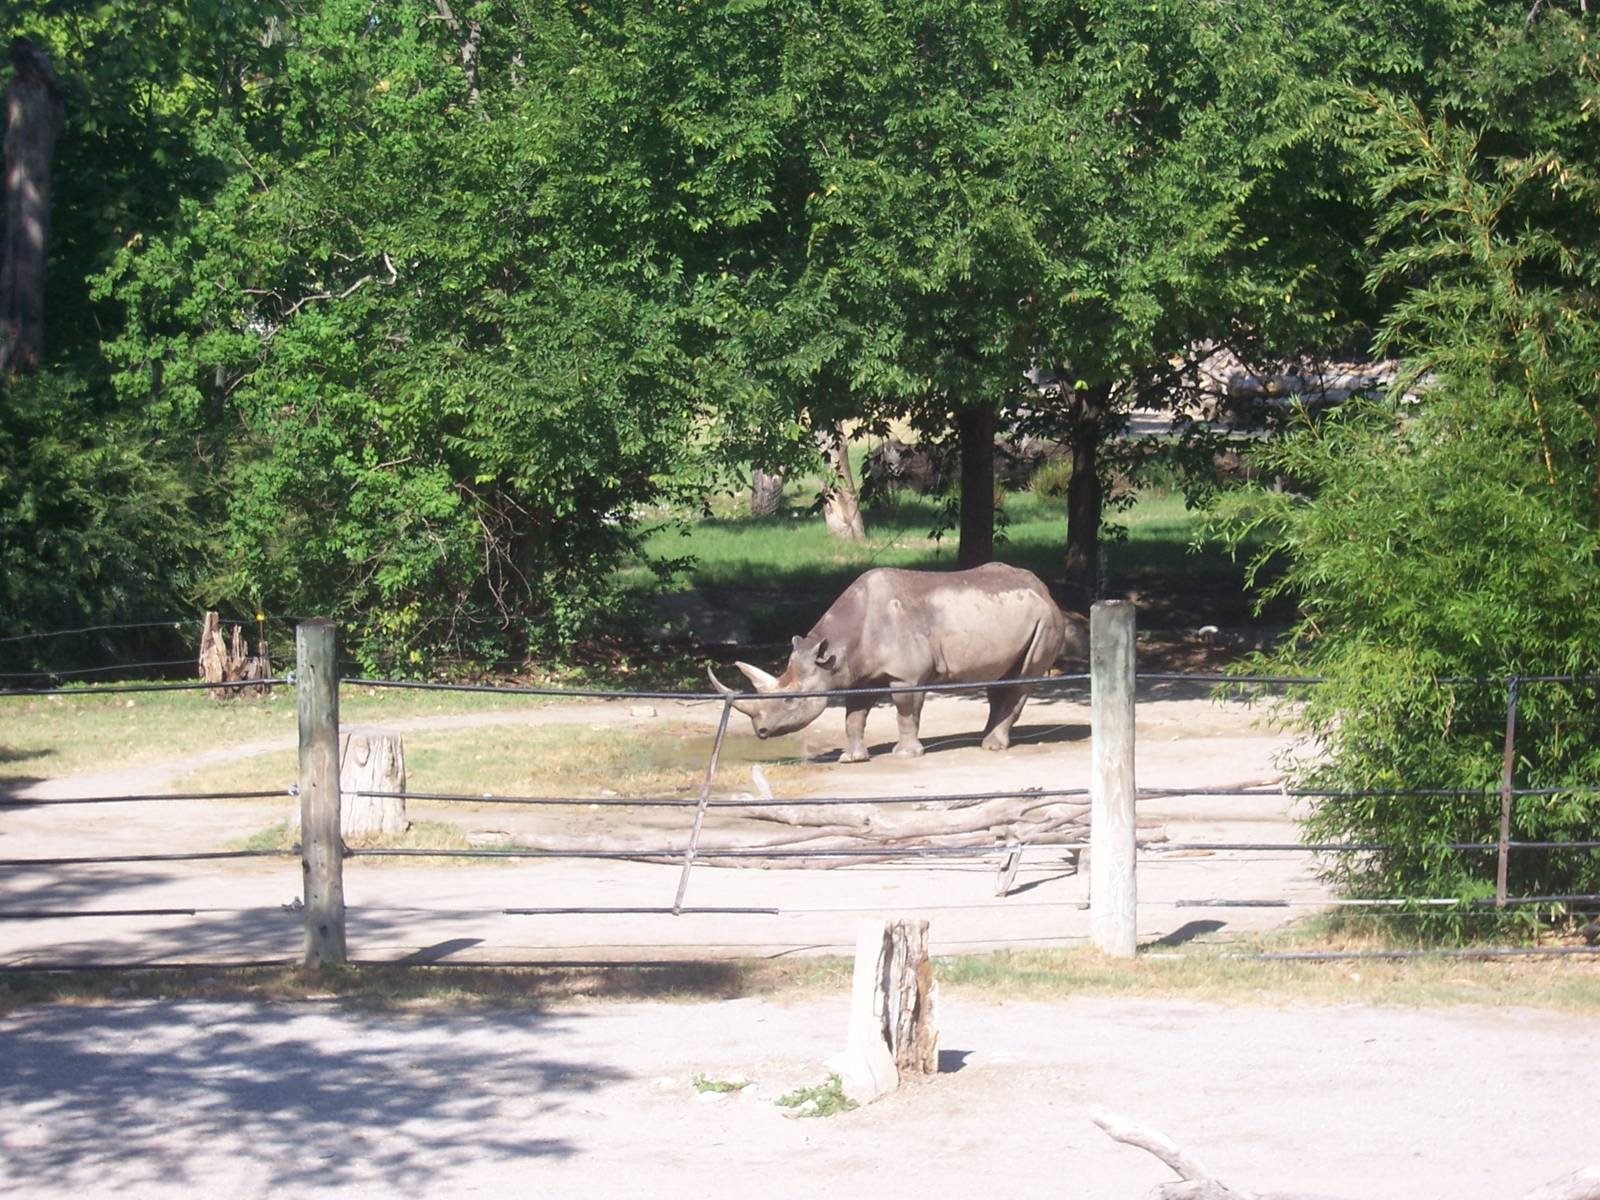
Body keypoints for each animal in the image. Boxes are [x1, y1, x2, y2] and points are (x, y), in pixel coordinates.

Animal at [707, 562, 1079, 762]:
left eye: (788, 700)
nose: (761, 732)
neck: (835, 650)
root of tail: (1045, 590)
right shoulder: (859, 674)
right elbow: (854, 716)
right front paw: (852, 758)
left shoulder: (907, 676)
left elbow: (905, 712)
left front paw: (905, 754)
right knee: (998, 679)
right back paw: (985, 740)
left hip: (1048, 620)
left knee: (1023, 678)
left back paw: (992, 747)